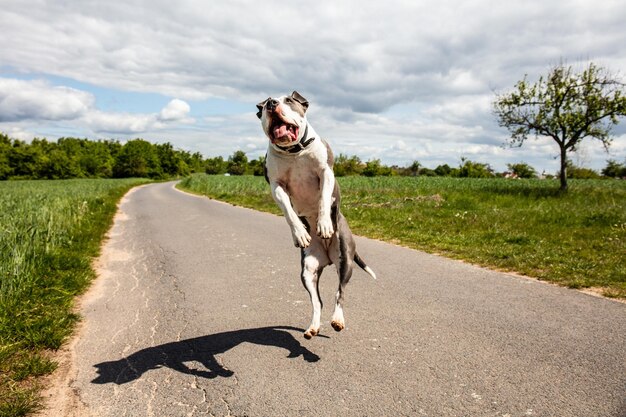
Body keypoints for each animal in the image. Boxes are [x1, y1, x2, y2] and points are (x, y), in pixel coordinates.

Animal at [255, 90, 372, 338]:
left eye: (289, 100)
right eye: (265, 104)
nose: (271, 104)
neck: (294, 152)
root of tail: (327, 256)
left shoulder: (325, 172)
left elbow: (324, 200)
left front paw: (324, 224)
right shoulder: (276, 185)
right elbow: (289, 212)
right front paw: (300, 233)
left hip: (345, 259)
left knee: (339, 292)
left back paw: (337, 320)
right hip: (307, 270)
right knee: (317, 301)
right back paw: (313, 327)